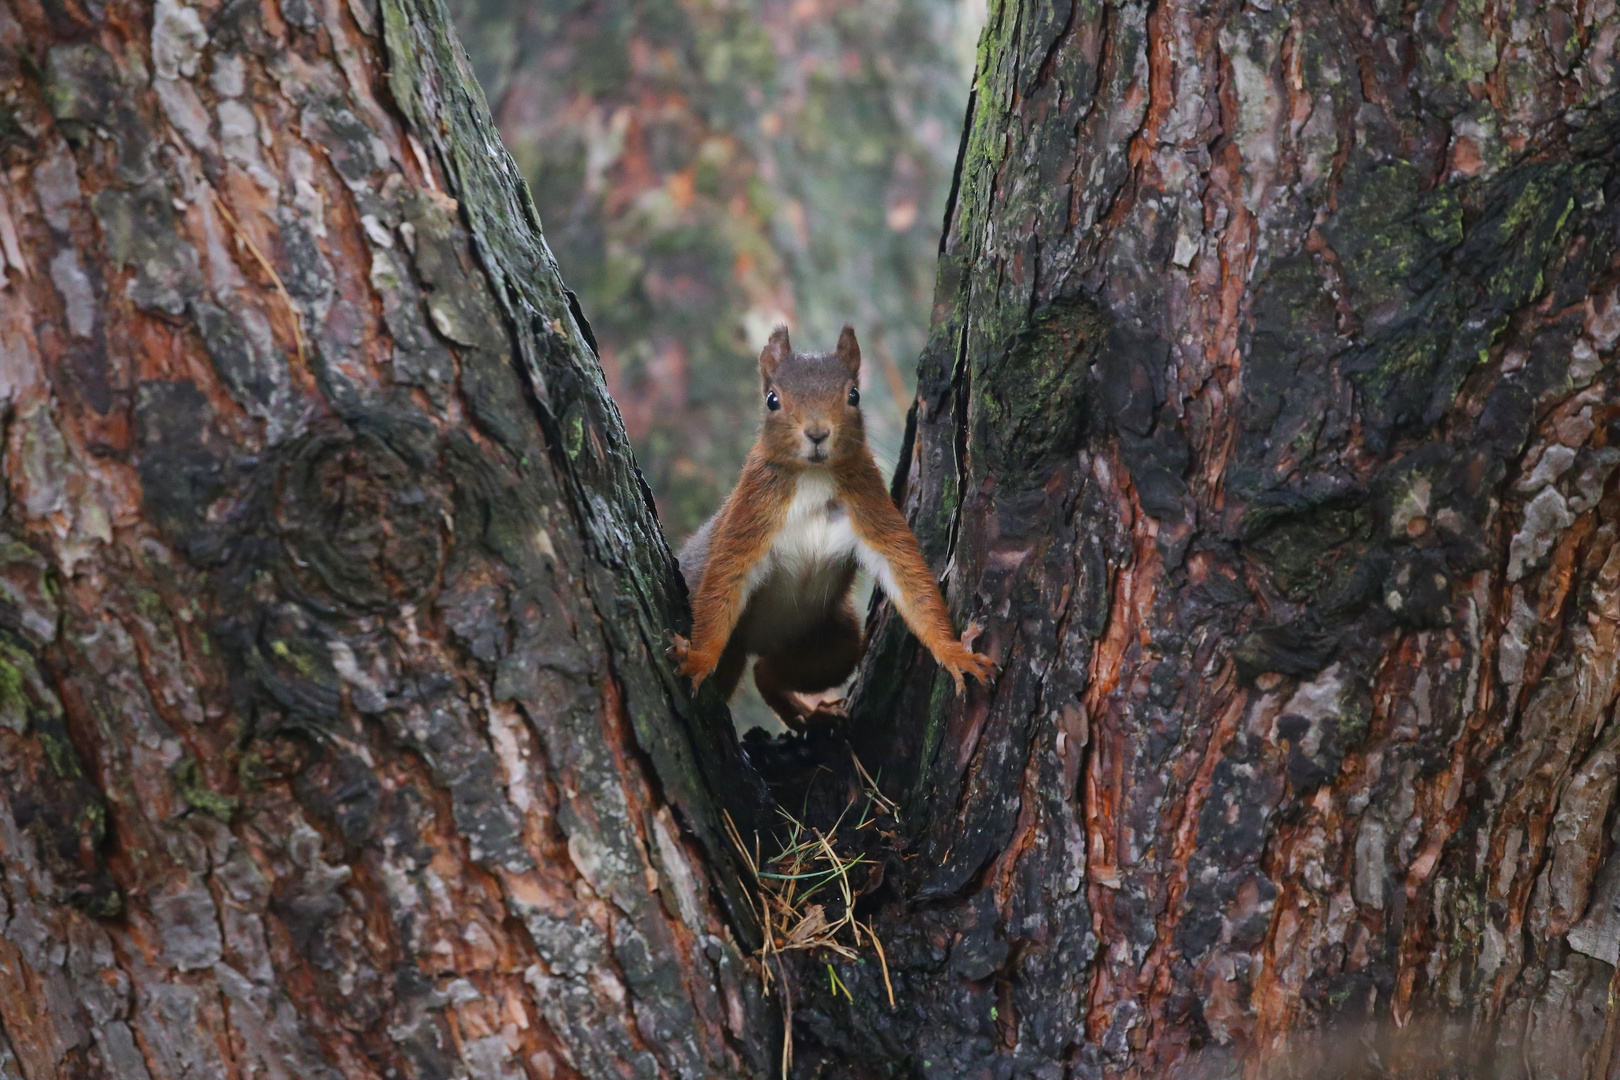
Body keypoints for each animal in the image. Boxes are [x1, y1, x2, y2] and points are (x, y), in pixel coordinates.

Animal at [667, 325, 991, 731]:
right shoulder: (749, 516)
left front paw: (953, 652)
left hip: (835, 643)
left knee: (767, 673)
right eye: (772, 400)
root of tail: (759, 644)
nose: (818, 432)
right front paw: (696, 657)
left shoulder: (872, 512)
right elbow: (724, 582)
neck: (813, 477)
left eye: (853, 394)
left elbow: (909, 580)